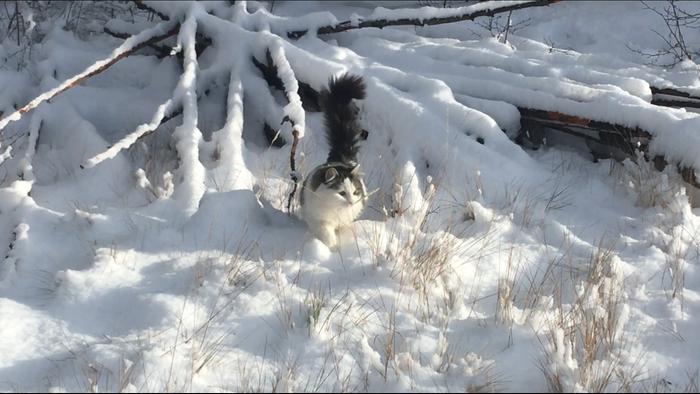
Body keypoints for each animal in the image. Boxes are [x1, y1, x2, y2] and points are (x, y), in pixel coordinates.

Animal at [300, 72, 370, 248]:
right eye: (342, 193)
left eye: (355, 192)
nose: (351, 202)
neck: (334, 209)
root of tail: (340, 157)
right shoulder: (319, 220)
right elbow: (326, 235)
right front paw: (331, 247)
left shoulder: (345, 219)